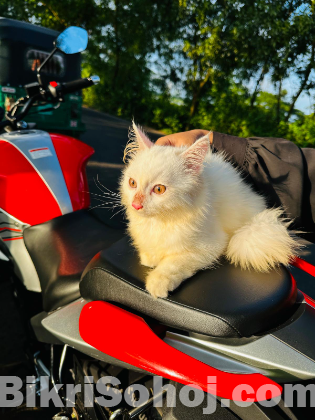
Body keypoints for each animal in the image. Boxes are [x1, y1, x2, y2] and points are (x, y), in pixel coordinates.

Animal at [119, 121, 300, 298]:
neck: (160, 220)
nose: (136, 204)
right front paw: (149, 258)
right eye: (132, 183)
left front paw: (158, 282)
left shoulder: (210, 246)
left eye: (159, 189)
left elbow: (175, 264)